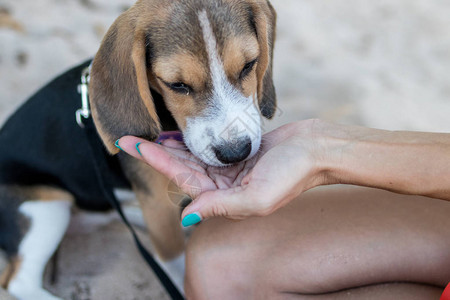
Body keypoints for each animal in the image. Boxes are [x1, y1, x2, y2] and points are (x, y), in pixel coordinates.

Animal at [0, 0, 276, 298]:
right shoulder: (158, 206)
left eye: (249, 65)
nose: (235, 152)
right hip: (44, 209)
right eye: (177, 85)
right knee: (17, 281)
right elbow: (176, 262)